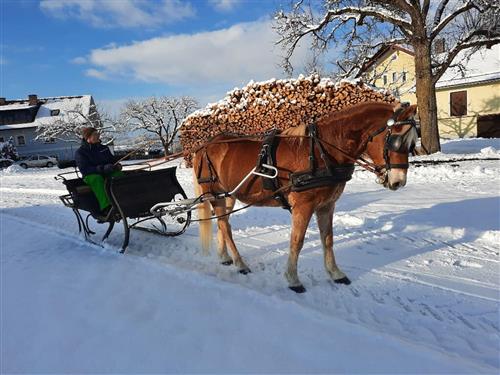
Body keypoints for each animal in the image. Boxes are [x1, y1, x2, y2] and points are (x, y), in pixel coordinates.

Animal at [191, 101, 418, 292]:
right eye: (395, 141)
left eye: (411, 144)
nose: (398, 181)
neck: (321, 152)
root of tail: (205, 146)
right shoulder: (304, 206)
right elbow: (297, 241)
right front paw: (293, 279)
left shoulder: (327, 205)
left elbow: (328, 239)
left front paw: (335, 273)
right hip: (214, 192)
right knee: (225, 225)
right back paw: (240, 263)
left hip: (228, 195)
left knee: (223, 223)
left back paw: (224, 257)